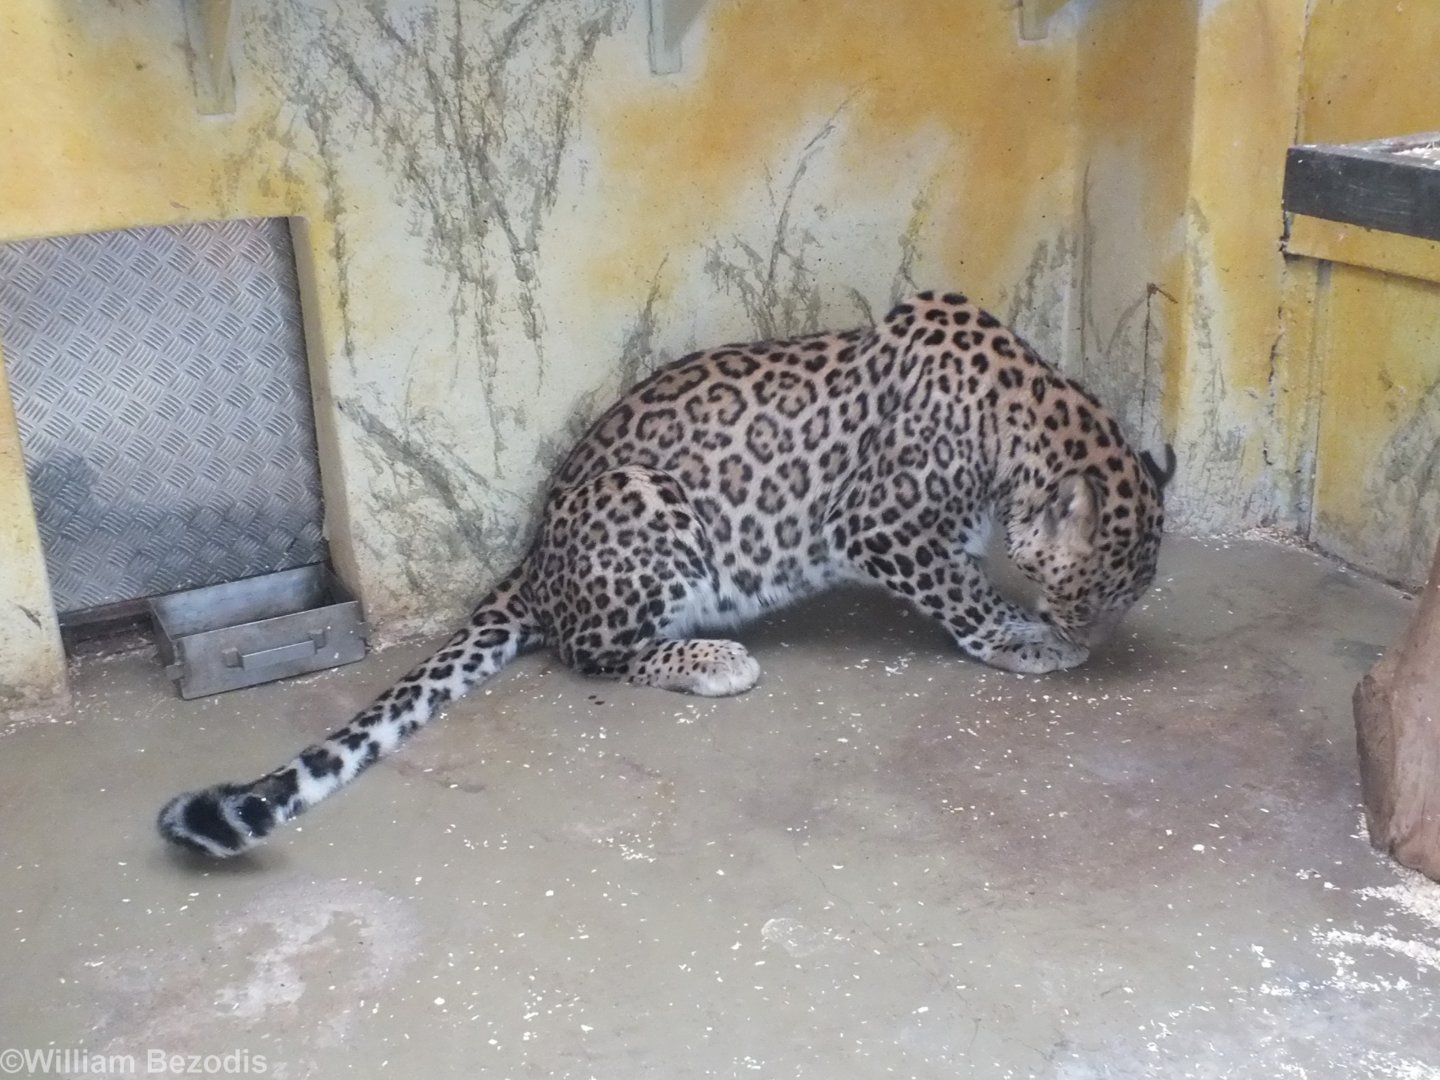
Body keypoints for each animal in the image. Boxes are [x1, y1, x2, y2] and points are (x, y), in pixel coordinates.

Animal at [158, 290, 1175, 858]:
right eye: (1089, 600)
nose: (1093, 639)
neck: (1019, 420)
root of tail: (533, 559)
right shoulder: (884, 527)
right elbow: (964, 596)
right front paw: (1027, 643)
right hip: (647, 508)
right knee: (589, 655)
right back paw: (711, 660)